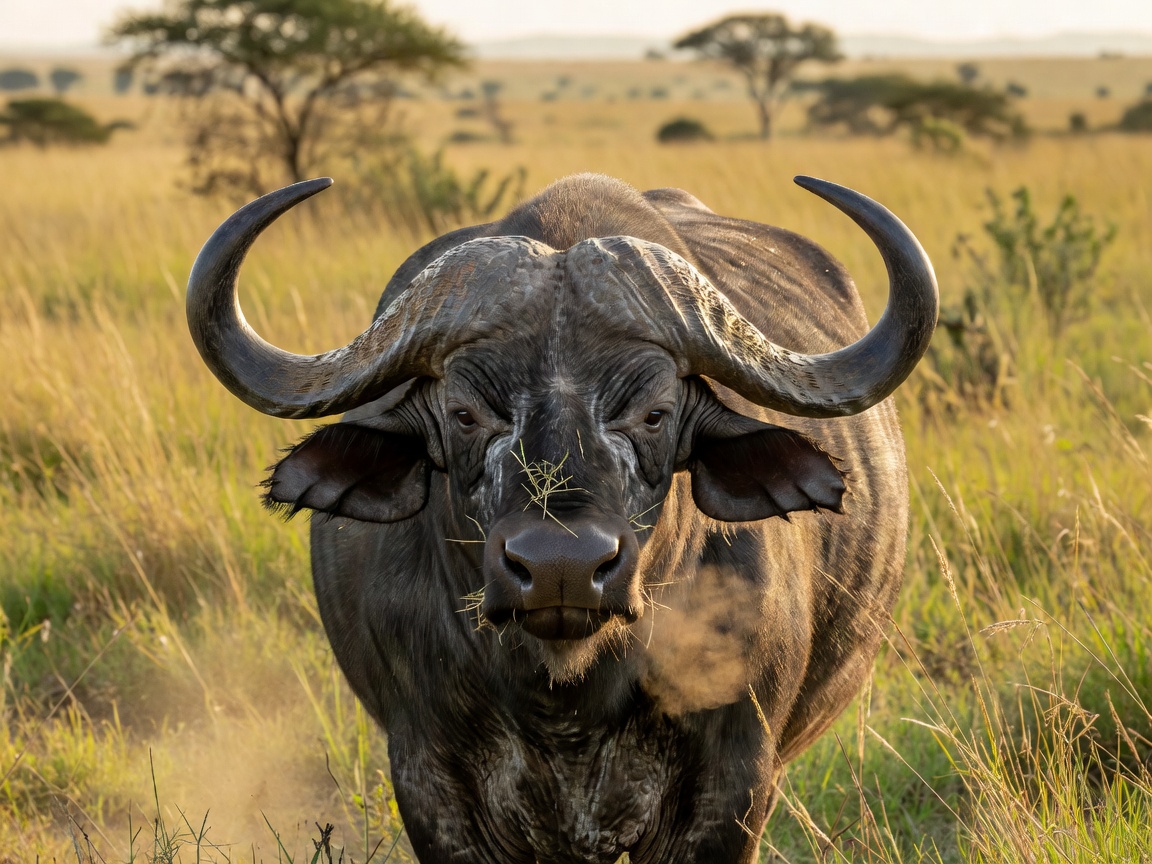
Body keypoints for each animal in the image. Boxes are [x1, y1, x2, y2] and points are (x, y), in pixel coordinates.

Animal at [187, 172, 937, 863]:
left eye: (654, 413)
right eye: (465, 413)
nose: (561, 568)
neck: (566, 700)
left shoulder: (734, 784)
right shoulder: (429, 782)